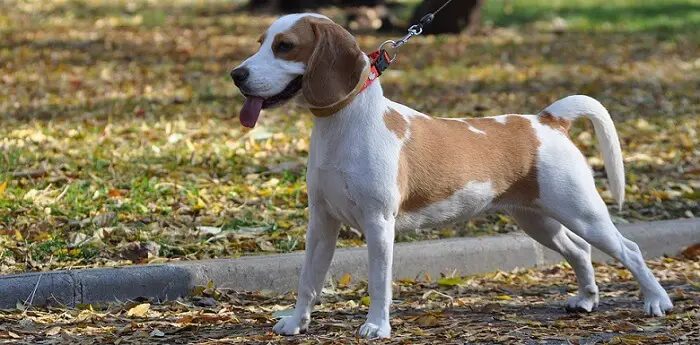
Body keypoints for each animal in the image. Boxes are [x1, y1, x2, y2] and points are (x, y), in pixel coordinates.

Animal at [232, 12, 676, 336]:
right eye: (260, 43)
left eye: (285, 46)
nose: (237, 75)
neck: (343, 124)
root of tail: (546, 120)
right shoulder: (321, 223)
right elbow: (308, 280)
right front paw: (295, 322)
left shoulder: (378, 225)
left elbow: (378, 283)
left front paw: (377, 326)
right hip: (539, 220)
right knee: (580, 250)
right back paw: (585, 300)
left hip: (584, 213)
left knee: (629, 250)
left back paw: (657, 301)